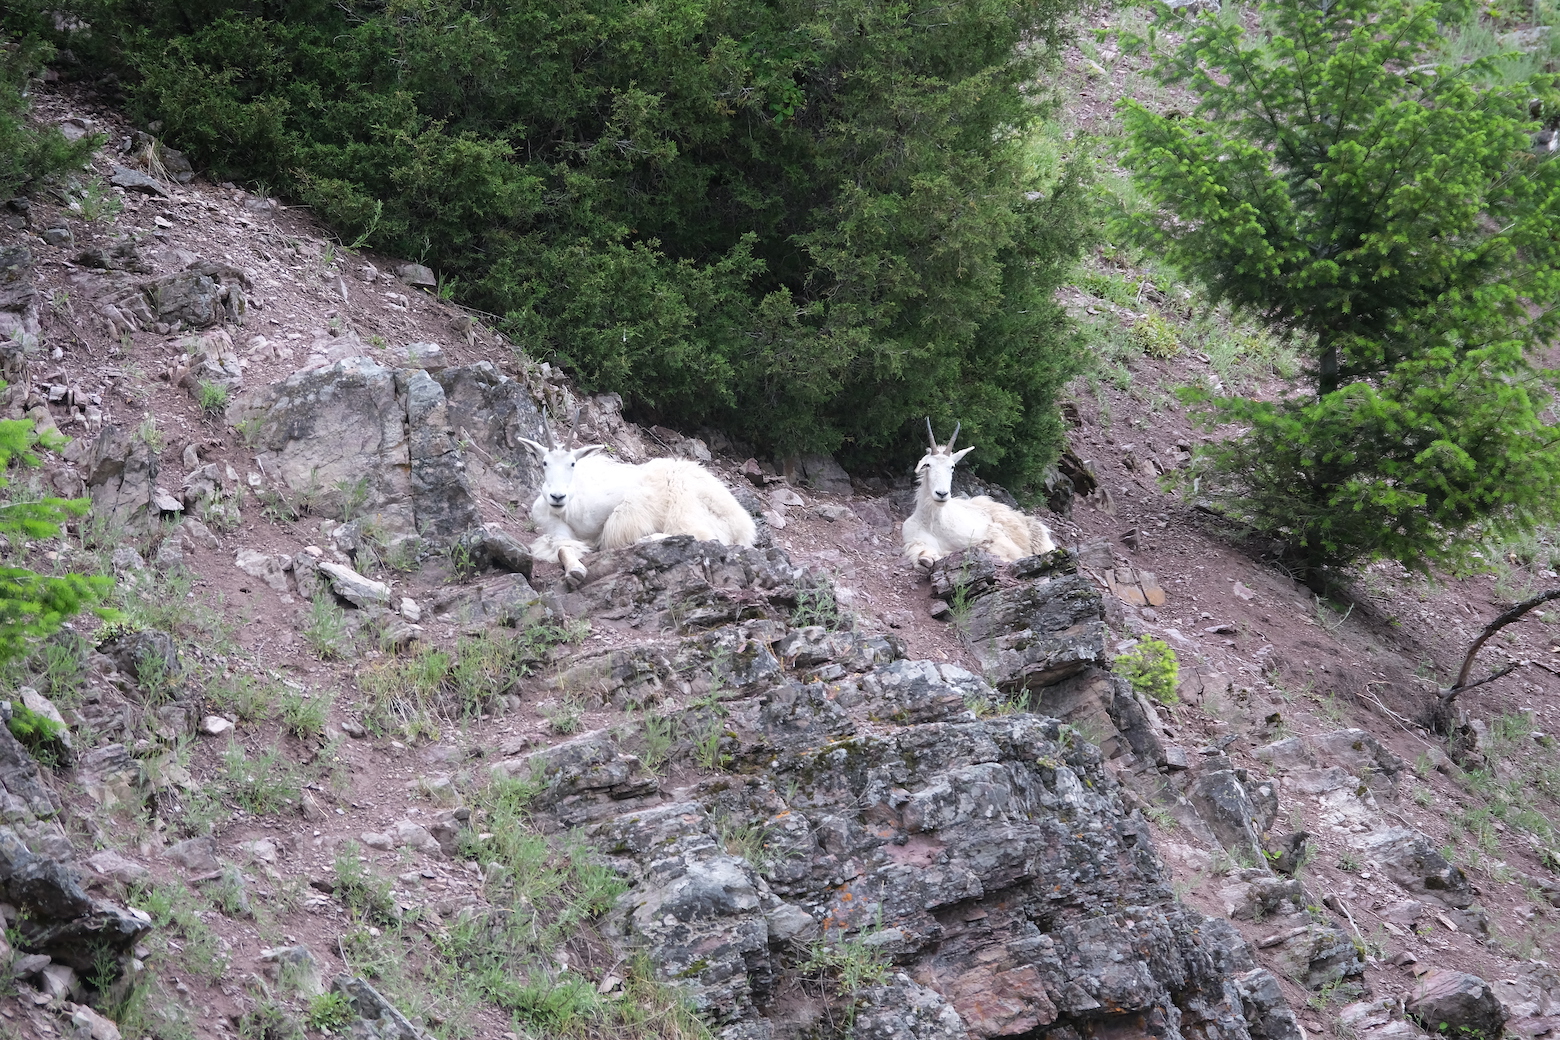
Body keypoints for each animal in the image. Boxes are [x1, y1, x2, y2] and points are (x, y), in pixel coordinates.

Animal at [520, 424, 756, 586]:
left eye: (572, 463)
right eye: (544, 462)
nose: (557, 496)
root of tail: (742, 526)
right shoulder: (556, 527)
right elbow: (561, 546)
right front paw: (574, 572)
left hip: (684, 501)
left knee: (703, 535)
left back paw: (647, 539)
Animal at [902, 419, 1056, 571]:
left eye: (952, 466)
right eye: (928, 465)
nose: (941, 494)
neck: (934, 523)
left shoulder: (989, 533)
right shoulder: (914, 539)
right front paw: (926, 559)